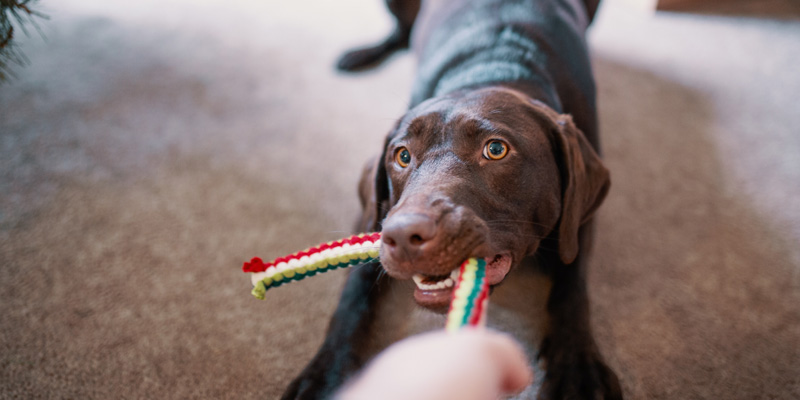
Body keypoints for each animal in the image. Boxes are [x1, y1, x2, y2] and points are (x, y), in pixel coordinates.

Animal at [282, 0, 624, 398]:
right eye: (402, 155)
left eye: (496, 149)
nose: (404, 236)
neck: (493, 66)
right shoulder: (374, 217)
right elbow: (353, 290)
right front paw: (324, 374)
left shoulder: (578, 220)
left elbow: (572, 283)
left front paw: (577, 366)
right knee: (401, 33)